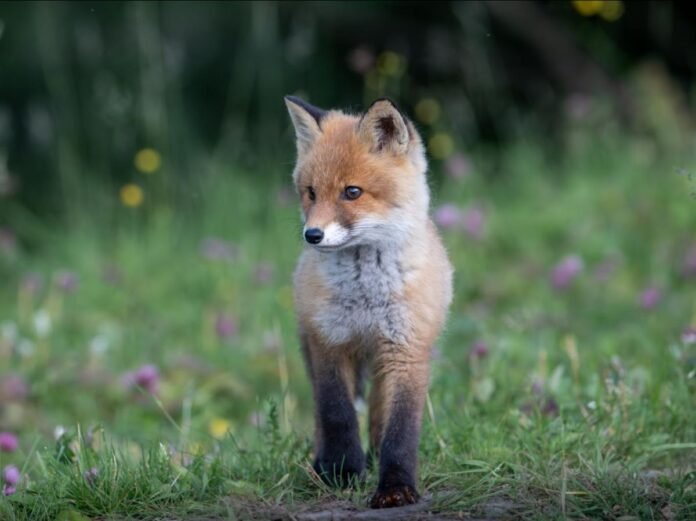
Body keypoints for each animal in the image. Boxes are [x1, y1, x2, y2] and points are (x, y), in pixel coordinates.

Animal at [285, 95, 453, 508]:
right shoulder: (329, 343)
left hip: (381, 362)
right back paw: (321, 463)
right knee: (321, 416)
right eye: (311, 192)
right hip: (311, 349)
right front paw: (342, 472)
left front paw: (395, 486)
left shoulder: (406, 350)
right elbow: (338, 416)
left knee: (378, 413)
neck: (365, 297)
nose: (312, 235)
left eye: (352, 192)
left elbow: (400, 430)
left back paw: (374, 456)